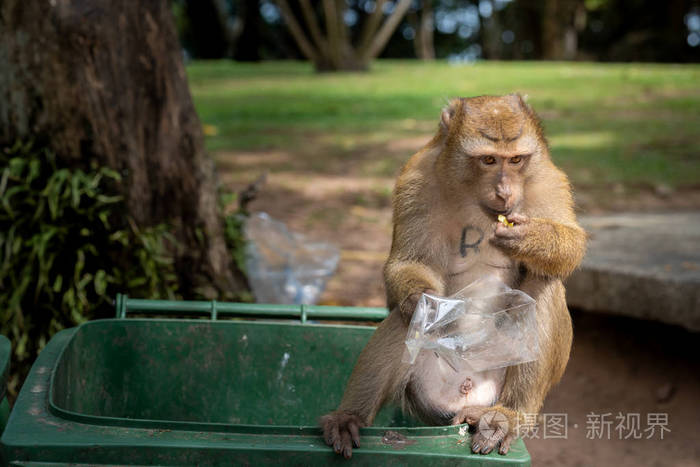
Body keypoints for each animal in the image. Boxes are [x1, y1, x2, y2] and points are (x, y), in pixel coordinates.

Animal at [322, 93, 584, 458]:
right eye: (488, 159)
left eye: (516, 159)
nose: (505, 192)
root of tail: (466, 390)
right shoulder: (416, 180)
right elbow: (406, 265)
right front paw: (426, 302)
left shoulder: (547, 179)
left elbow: (572, 247)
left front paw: (531, 238)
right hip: (421, 387)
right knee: (406, 318)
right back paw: (350, 417)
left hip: (502, 367)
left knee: (543, 285)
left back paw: (509, 416)